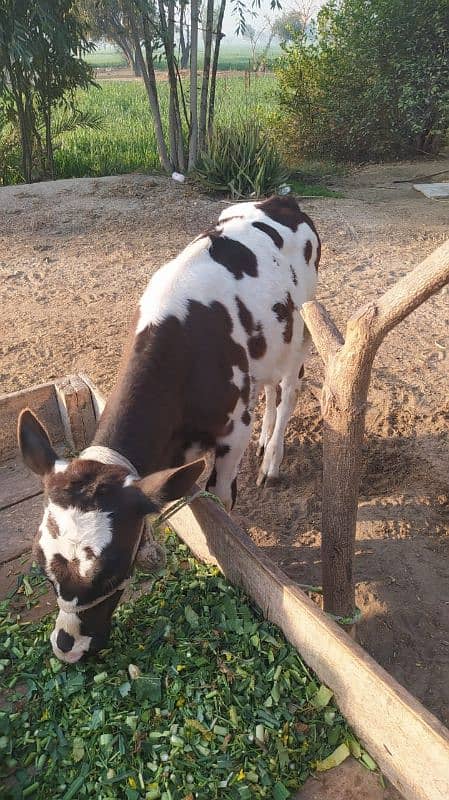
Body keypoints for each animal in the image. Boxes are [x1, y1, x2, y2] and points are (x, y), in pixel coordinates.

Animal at [16, 194, 318, 664]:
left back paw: (272, 460)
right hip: (267, 347)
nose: (67, 648)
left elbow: (221, 500)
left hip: (299, 330)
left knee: (288, 387)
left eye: (111, 574)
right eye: (43, 567)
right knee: (269, 388)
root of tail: (281, 198)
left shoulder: (233, 431)